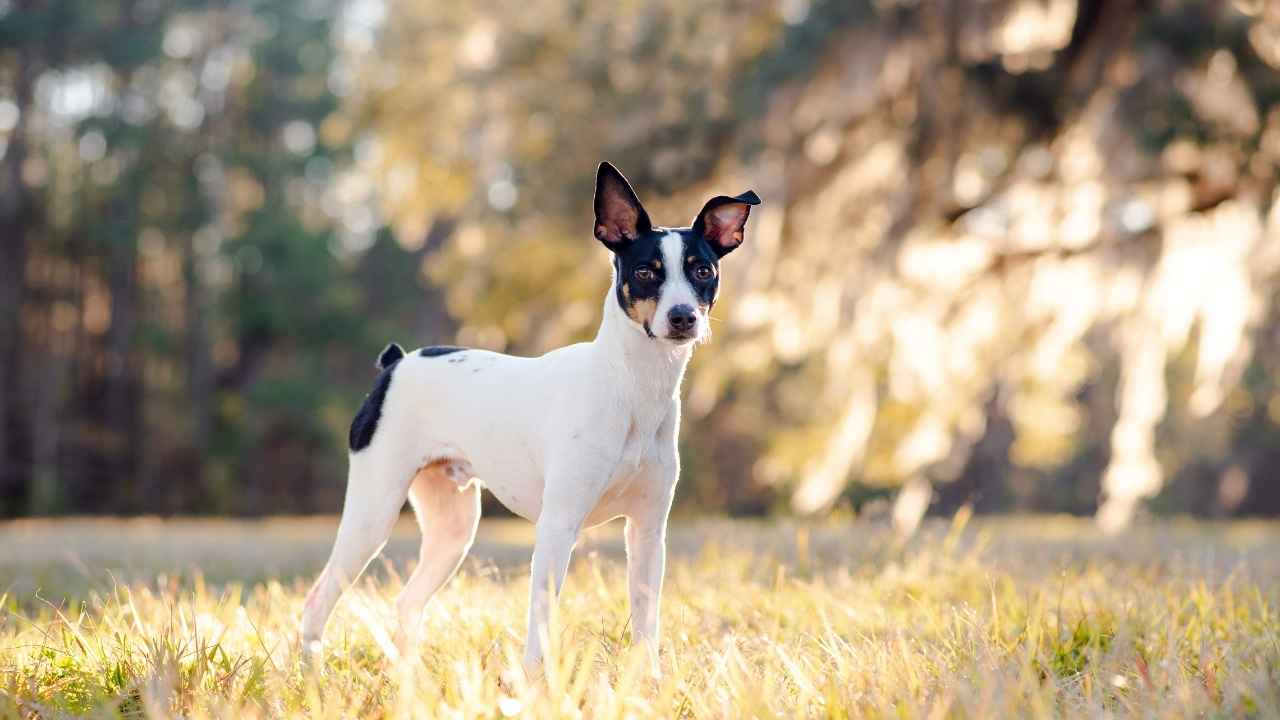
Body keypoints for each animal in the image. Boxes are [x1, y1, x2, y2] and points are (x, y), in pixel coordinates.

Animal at [299, 161, 757, 671]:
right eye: (644, 271)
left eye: (703, 270)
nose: (682, 318)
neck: (630, 388)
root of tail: (396, 364)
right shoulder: (558, 526)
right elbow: (540, 618)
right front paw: (536, 680)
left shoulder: (647, 532)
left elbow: (646, 622)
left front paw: (649, 680)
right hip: (372, 515)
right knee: (317, 601)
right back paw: (312, 674)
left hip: (453, 530)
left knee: (407, 601)